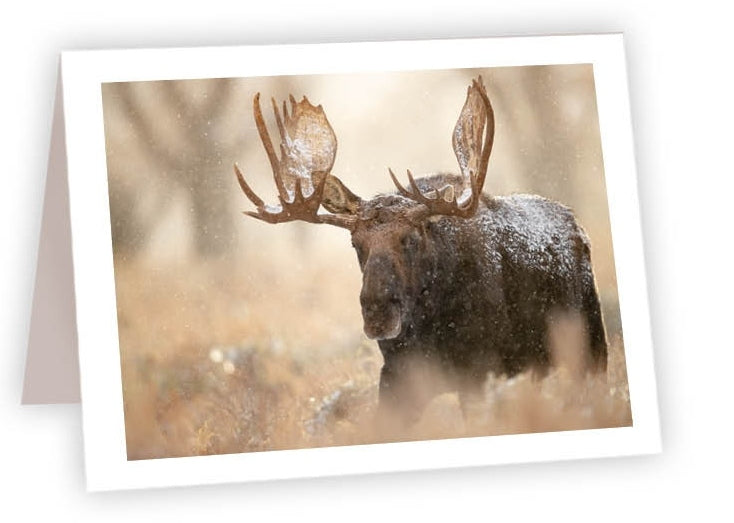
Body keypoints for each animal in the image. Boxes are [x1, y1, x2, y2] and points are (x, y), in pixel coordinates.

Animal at [234, 77, 608, 427]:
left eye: (410, 238)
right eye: (356, 244)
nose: (377, 312)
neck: (431, 325)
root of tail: (578, 224)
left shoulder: (481, 371)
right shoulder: (397, 376)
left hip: (590, 346)